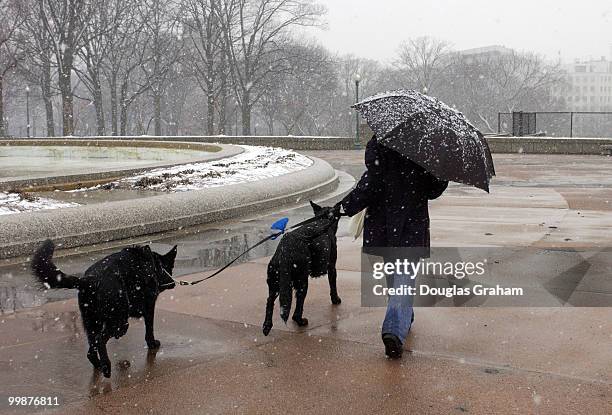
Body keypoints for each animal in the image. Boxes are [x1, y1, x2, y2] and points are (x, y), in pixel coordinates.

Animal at [31, 239, 177, 378]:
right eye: (170, 268)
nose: (174, 283)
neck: (154, 265)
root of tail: (88, 280)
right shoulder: (149, 305)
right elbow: (149, 327)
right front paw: (152, 343)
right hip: (118, 321)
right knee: (101, 339)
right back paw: (106, 366)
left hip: (91, 323)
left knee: (91, 350)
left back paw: (99, 366)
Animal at [262, 202, 342, 338]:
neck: (323, 219)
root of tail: (285, 249)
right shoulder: (332, 266)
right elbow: (333, 285)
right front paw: (335, 299)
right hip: (302, 281)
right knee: (297, 307)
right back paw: (301, 321)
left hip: (275, 282)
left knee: (269, 301)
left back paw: (266, 326)